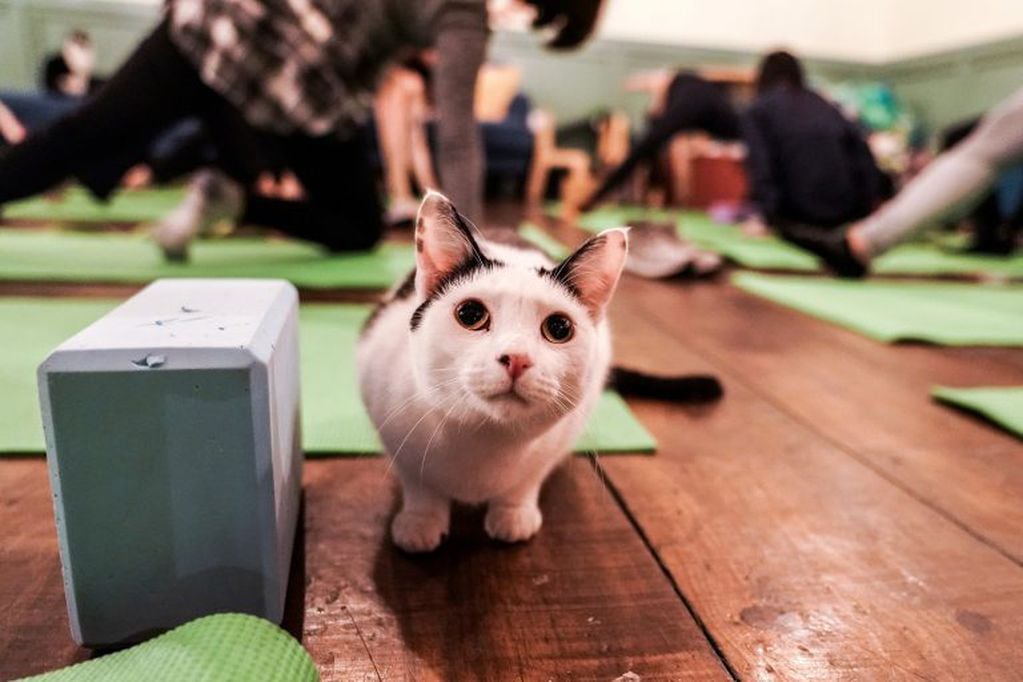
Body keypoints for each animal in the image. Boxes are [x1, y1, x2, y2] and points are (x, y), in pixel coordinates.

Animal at [360, 192, 720, 556]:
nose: (517, 358)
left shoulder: (556, 443)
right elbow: (419, 483)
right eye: (470, 314)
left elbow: (527, 479)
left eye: (559, 328)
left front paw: (513, 512)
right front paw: (421, 519)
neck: (486, 440)